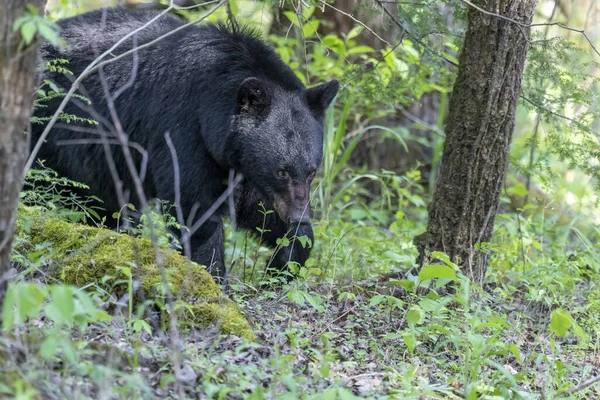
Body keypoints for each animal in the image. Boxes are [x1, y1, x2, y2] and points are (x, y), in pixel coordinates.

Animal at [31, 7, 338, 282]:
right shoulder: (183, 129)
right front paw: (211, 277)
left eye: (311, 171)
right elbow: (193, 207)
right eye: (281, 171)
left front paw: (285, 259)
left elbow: (256, 205)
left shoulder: (238, 159)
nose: (299, 217)